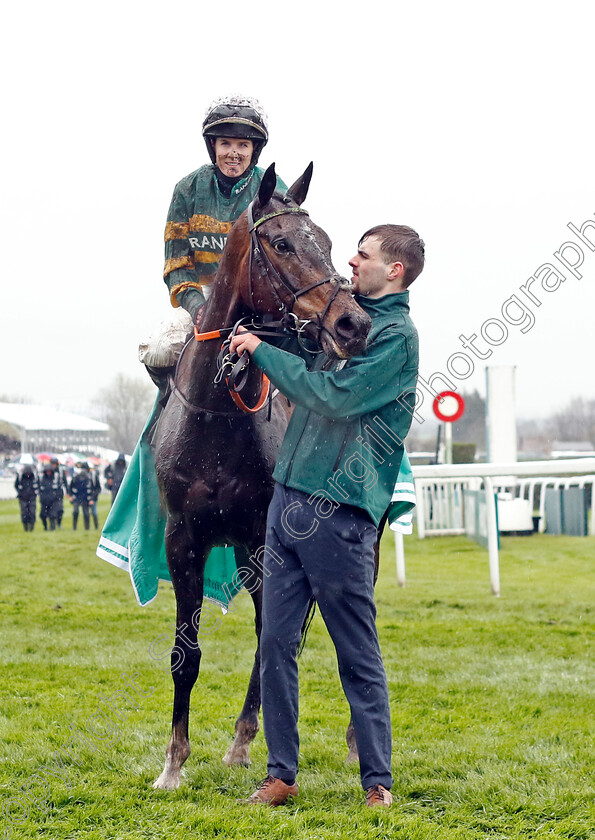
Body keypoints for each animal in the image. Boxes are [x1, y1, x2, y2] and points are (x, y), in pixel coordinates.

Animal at [151, 162, 370, 788]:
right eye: (281, 243)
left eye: (328, 242)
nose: (352, 322)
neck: (219, 416)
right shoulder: (184, 539)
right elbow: (186, 652)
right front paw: (173, 762)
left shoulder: (266, 540)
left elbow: (275, 637)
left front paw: (244, 743)